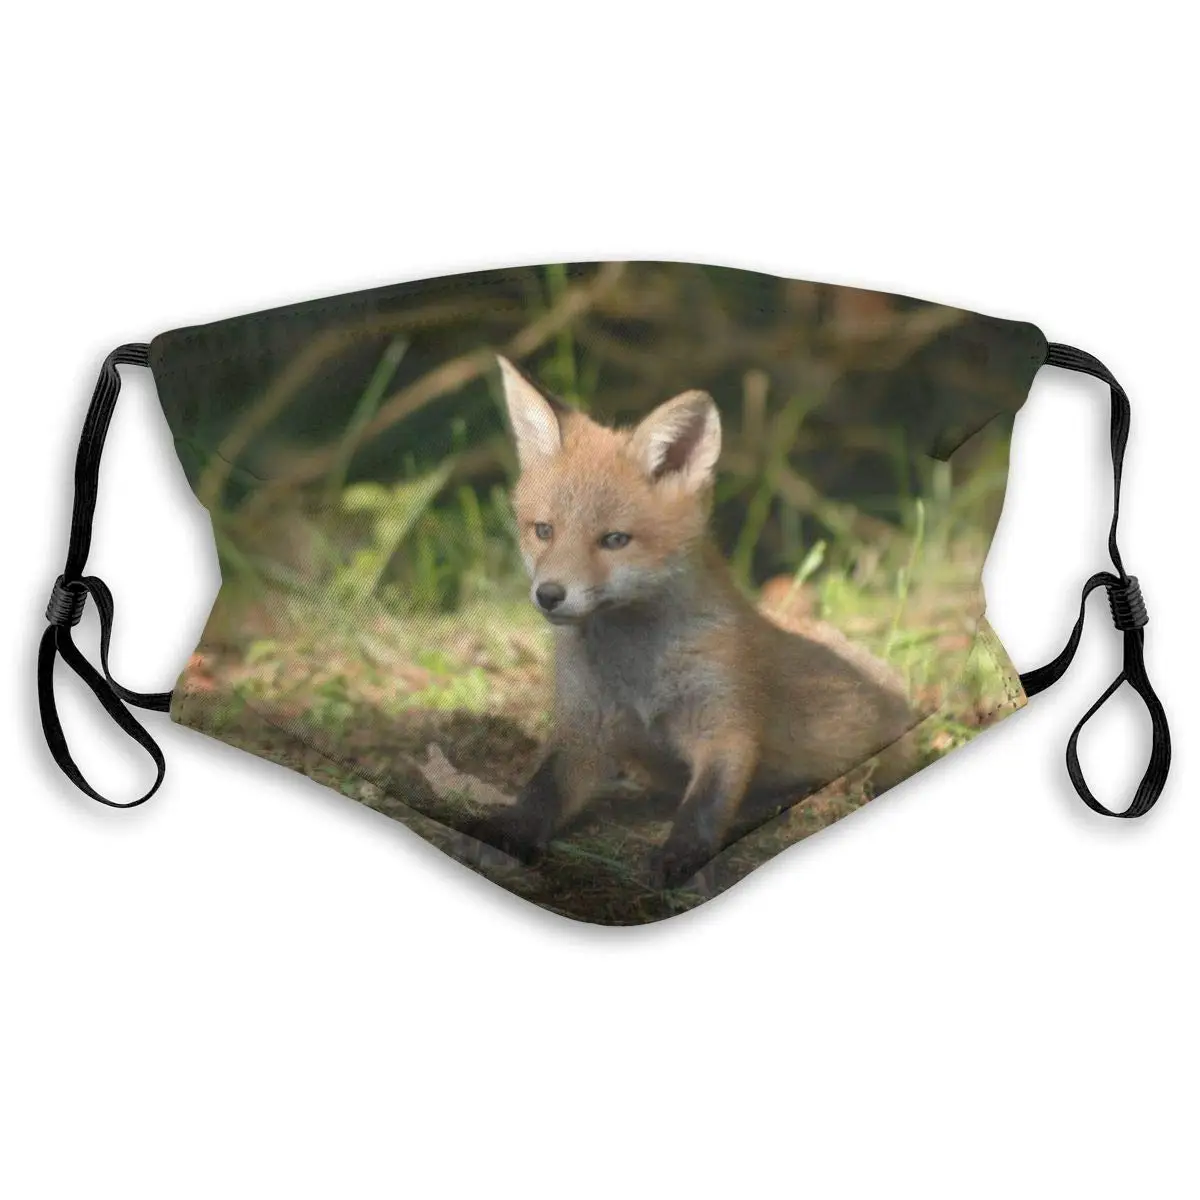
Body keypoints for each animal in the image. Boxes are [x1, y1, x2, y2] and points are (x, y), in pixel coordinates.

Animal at [468, 355, 916, 888]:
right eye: (543, 531)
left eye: (615, 540)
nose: (550, 595)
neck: (640, 667)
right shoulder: (584, 730)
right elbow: (541, 791)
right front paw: (506, 831)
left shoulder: (727, 727)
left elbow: (704, 807)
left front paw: (680, 860)